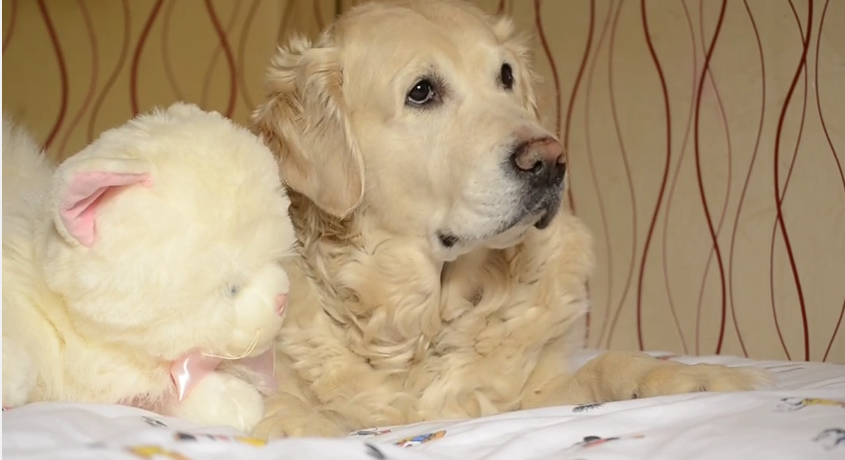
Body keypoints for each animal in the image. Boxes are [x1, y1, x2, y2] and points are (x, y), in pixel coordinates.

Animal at [247, 0, 768, 438]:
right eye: (421, 92)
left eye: (505, 76)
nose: (551, 160)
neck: (425, 321)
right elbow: (289, 410)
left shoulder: (527, 397)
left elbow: (606, 366)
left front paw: (691, 375)